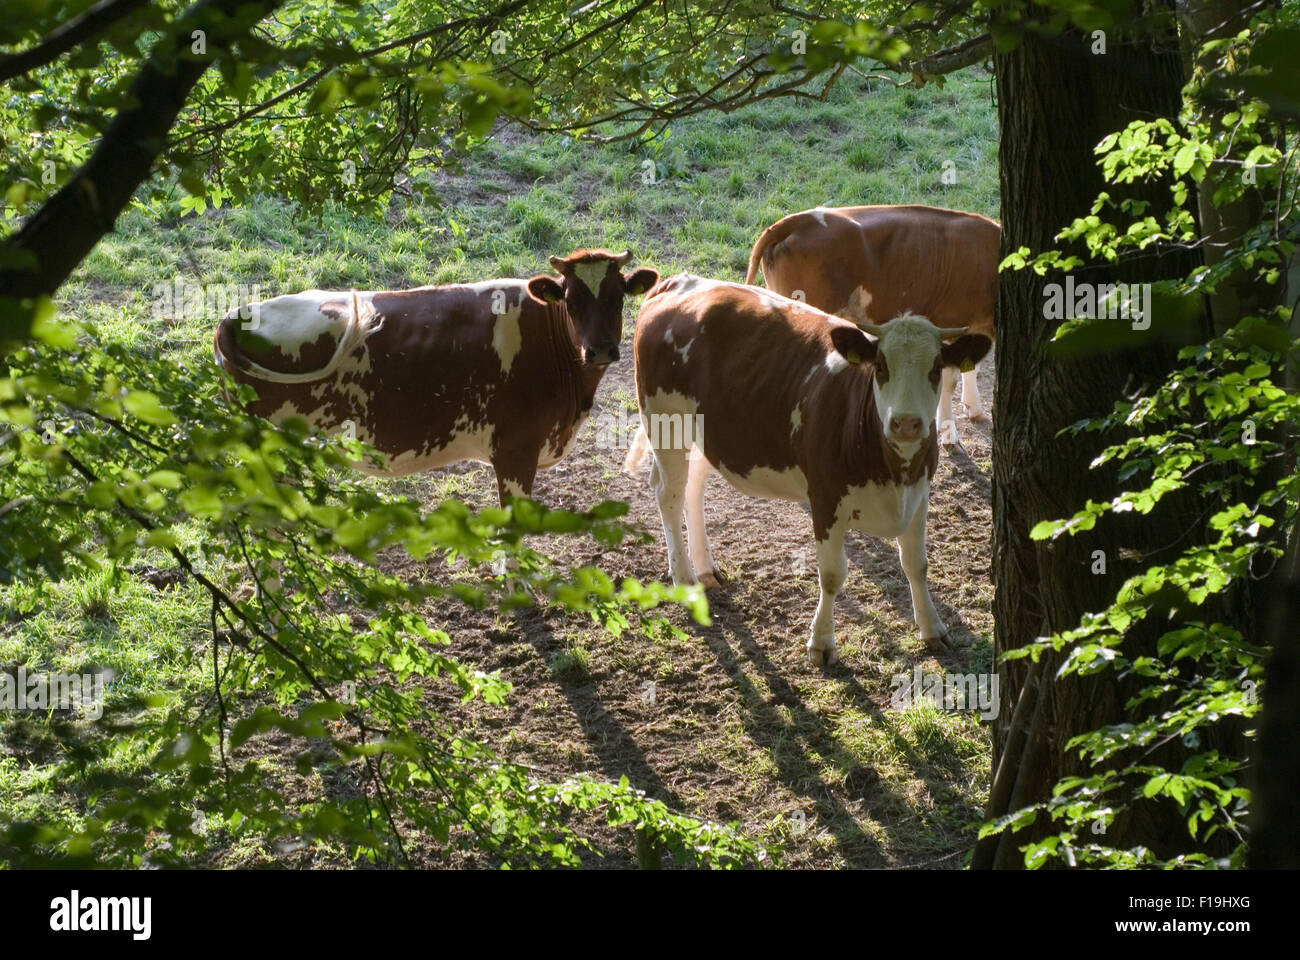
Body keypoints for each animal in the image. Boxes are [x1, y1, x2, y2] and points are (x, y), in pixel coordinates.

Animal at [626, 277, 982, 660]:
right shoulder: (826, 499)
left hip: (707, 434)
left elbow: (917, 565)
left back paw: (705, 567)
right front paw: (822, 642)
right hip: (665, 423)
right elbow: (832, 574)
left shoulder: (920, 492)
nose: (906, 423)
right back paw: (684, 577)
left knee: (692, 487)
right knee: (669, 495)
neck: (892, 469)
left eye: (935, 368)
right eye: (881, 366)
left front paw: (933, 629)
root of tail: (678, 281)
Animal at [748, 205, 998, 444]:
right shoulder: (952, 324)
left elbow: (971, 367)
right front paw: (948, 433)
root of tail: (796, 220)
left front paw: (973, 407)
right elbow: (950, 380)